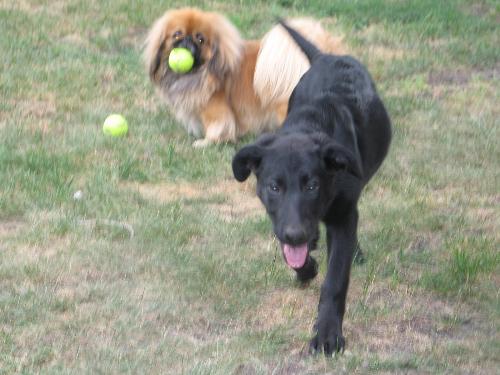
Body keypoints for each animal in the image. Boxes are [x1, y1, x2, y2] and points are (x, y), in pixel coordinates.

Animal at [143, 8, 342, 147]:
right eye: (177, 34)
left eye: (200, 39)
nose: (186, 42)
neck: (200, 71)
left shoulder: (215, 110)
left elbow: (217, 128)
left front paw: (206, 142)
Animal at [232, 22, 392, 356]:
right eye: (274, 187)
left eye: (312, 185)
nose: (296, 235)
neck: (310, 125)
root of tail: (326, 56)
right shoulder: (282, 222)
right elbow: (294, 254)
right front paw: (306, 269)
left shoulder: (343, 215)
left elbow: (335, 279)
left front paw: (328, 334)